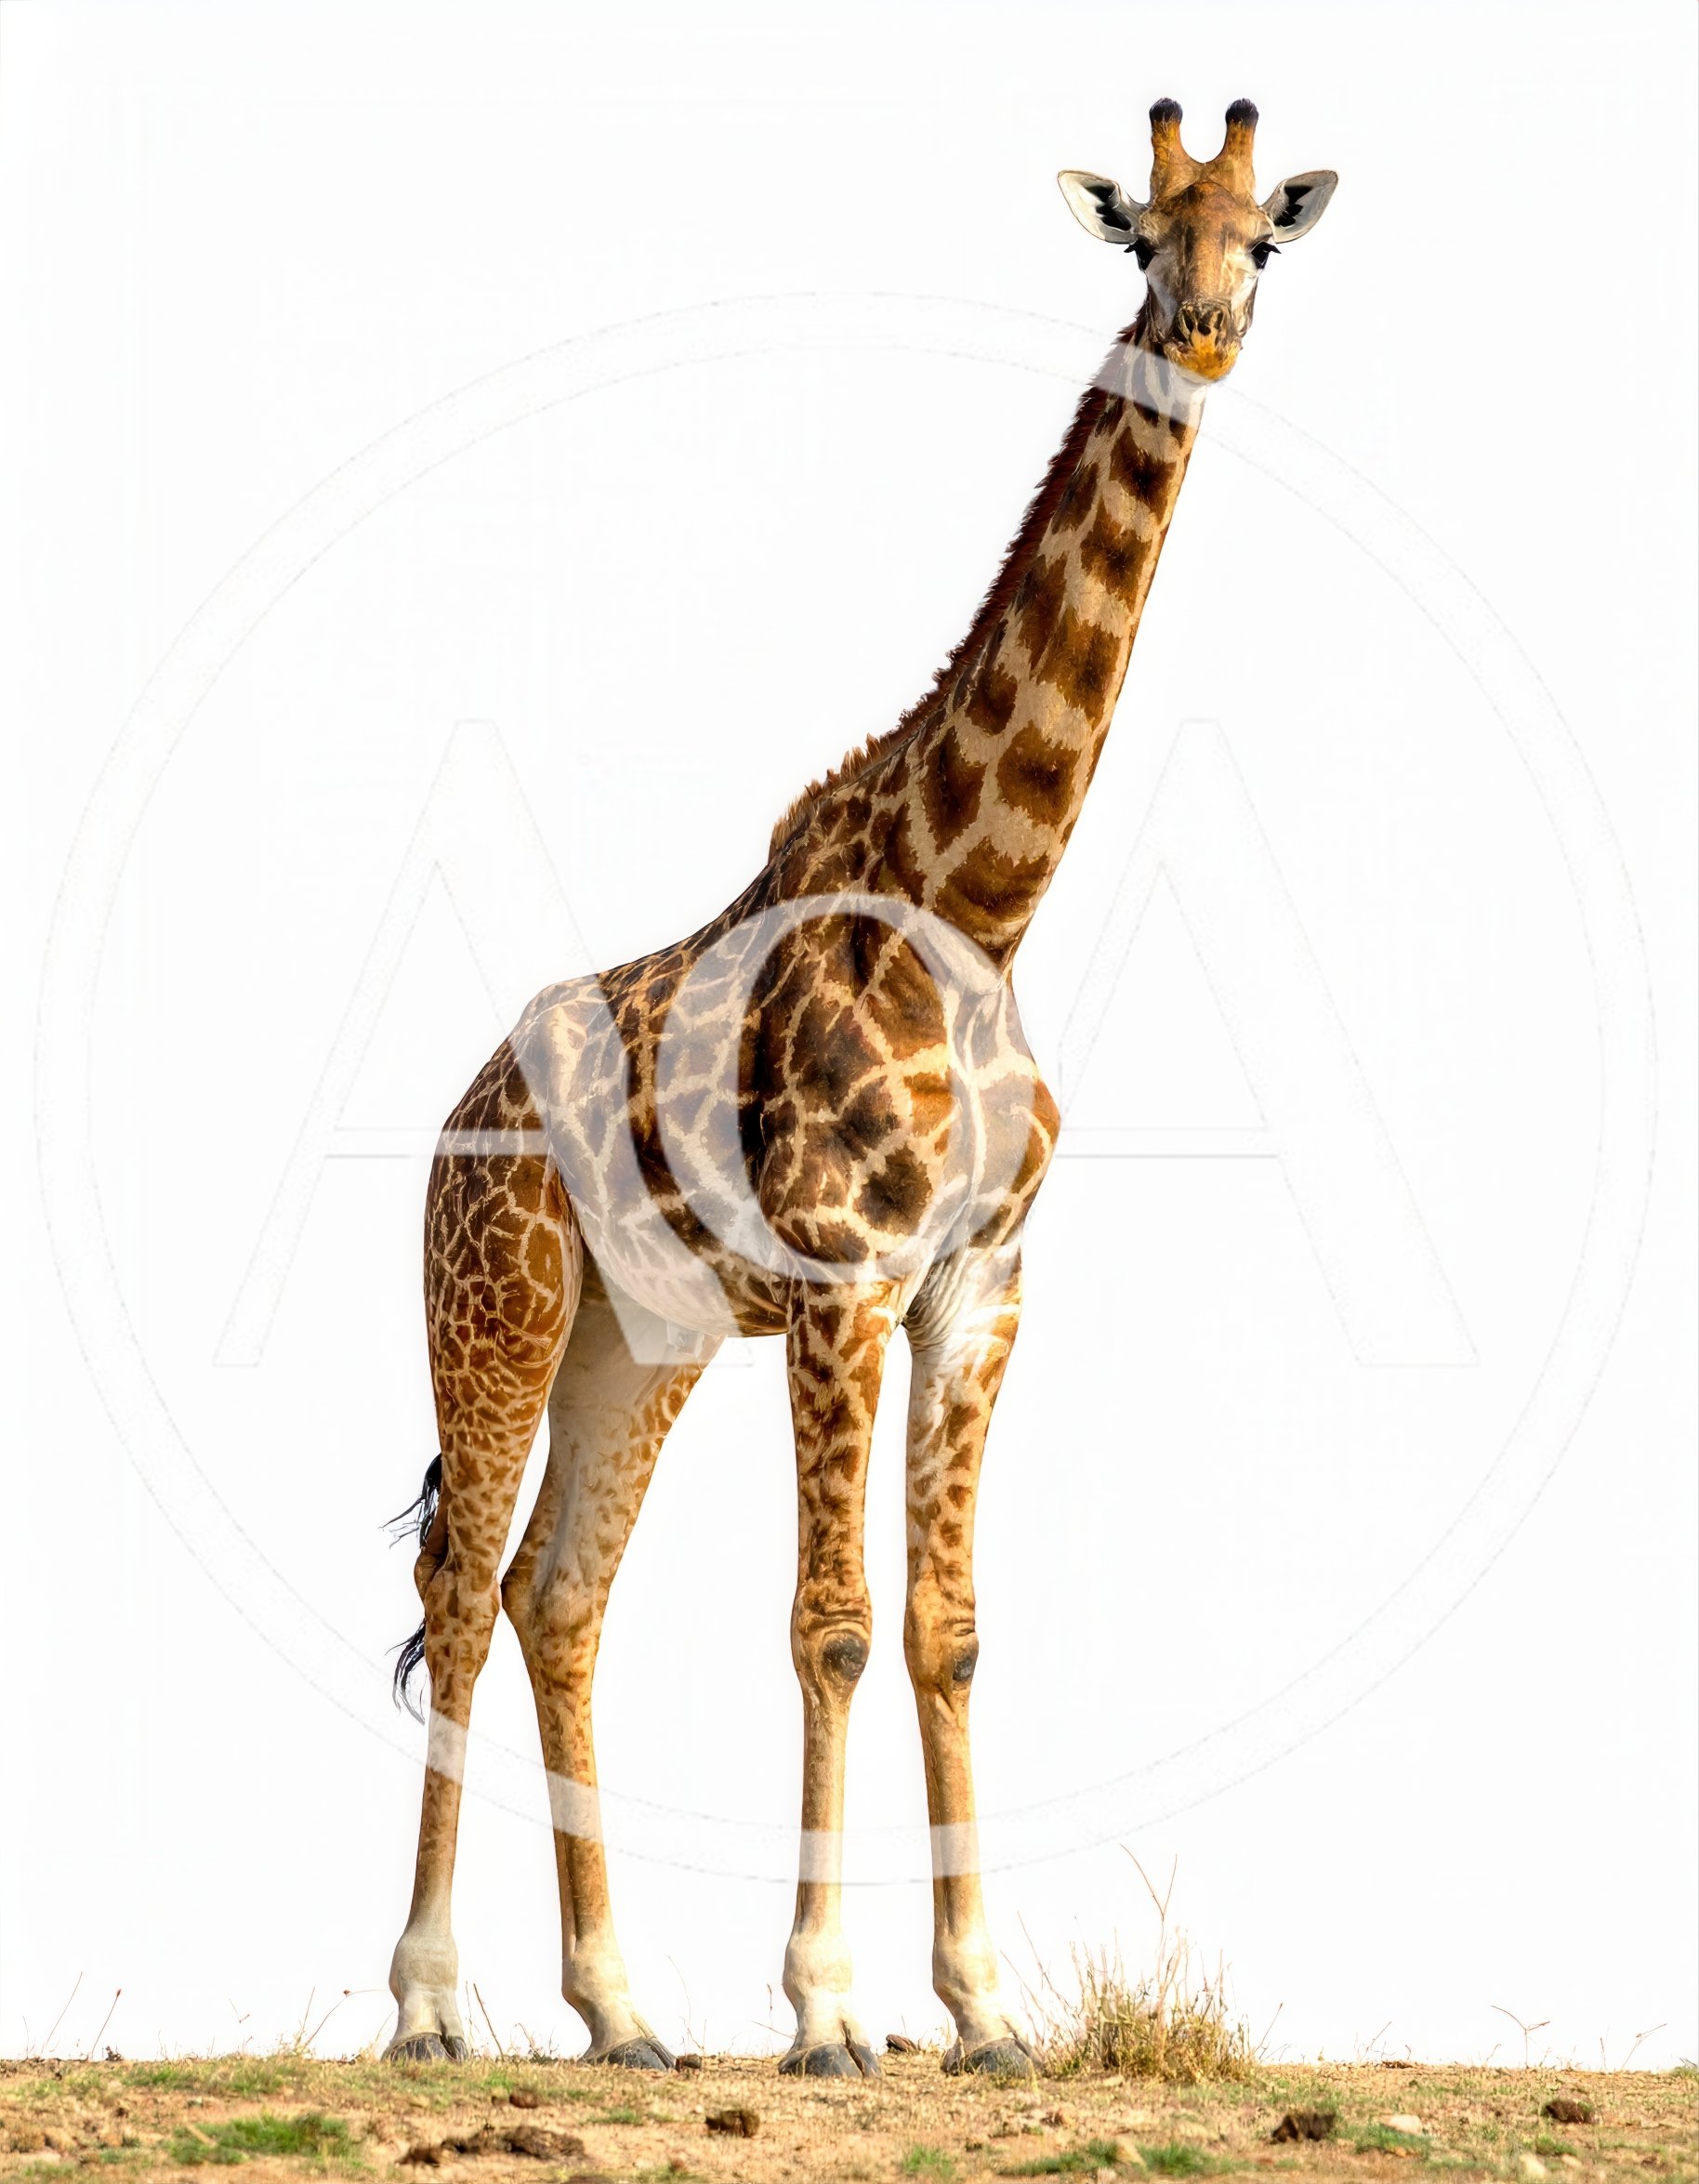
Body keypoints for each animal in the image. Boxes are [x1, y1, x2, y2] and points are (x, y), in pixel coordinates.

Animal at [383, 98, 1337, 2078]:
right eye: (1145, 236)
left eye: (1263, 242)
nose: (1205, 334)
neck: (976, 901)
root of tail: (447, 1124)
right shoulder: (839, 1281)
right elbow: (827, 1622)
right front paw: (826, 2009)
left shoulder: (975, 1287)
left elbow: (944, 1629)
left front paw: (979, 2008)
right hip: (492, 1304)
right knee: (457, 1590)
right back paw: (428, 2004)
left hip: (641, 1341)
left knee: (554, 1596)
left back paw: (620, 2012)